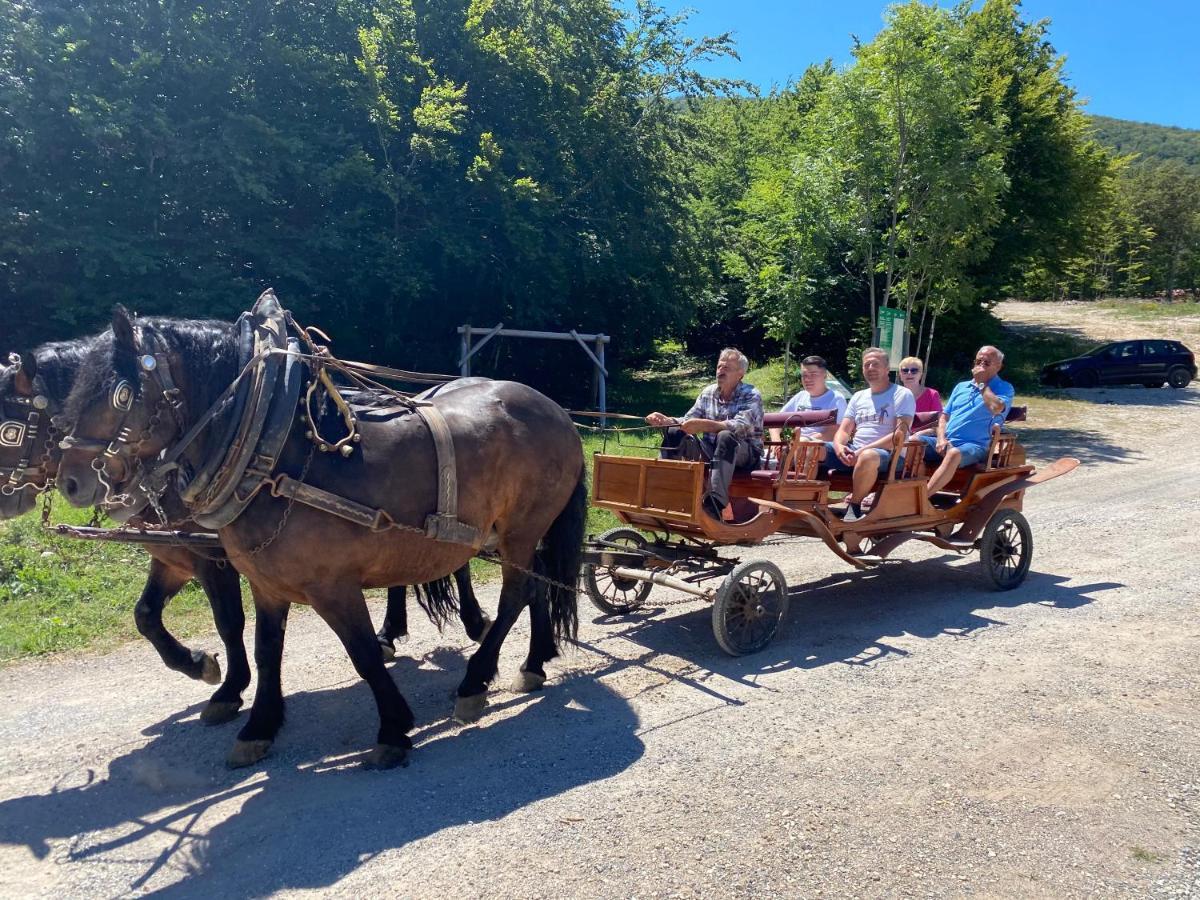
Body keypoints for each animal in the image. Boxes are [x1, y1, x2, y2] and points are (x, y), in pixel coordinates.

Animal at [58, 304, 583, 768]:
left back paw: (475, 681)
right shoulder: (265, 583)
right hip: (511, 535)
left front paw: (393, 729)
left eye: (121, 394)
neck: (276, 457)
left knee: (516, 594)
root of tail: (557, 411)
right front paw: (258, 727)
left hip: (520, 529)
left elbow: (364, 654)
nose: (72, 482)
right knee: (536, 585)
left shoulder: (332, 586)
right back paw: (534, 662)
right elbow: (266, 651)